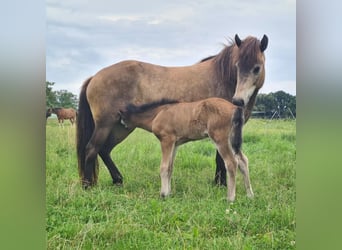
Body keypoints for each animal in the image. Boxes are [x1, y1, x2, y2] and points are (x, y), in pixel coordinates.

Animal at [76, 34, 268, 188]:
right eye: (237, 66)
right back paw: (87, 186)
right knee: (92, 149)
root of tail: (94, 77)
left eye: (257, 67)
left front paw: (218, 182)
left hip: (121, 126)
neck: (222, 78)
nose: (238, 100)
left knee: (104, 150)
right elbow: (221, 157)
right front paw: (221, 184)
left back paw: (117, 180)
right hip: (105, 124)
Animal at [120, 96, 254, 202]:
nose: (123, 125)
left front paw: (163, 194)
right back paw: (250, 195)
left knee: (231, 162)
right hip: (232, 140)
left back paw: (230, 198)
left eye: (121, 119)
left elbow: (163, 167)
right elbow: (170, 167)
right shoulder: (175, 144)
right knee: (243, 160)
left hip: (220, 139)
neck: (157, 114)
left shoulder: (166, 140)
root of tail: (235, 108)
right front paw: (169, 193)